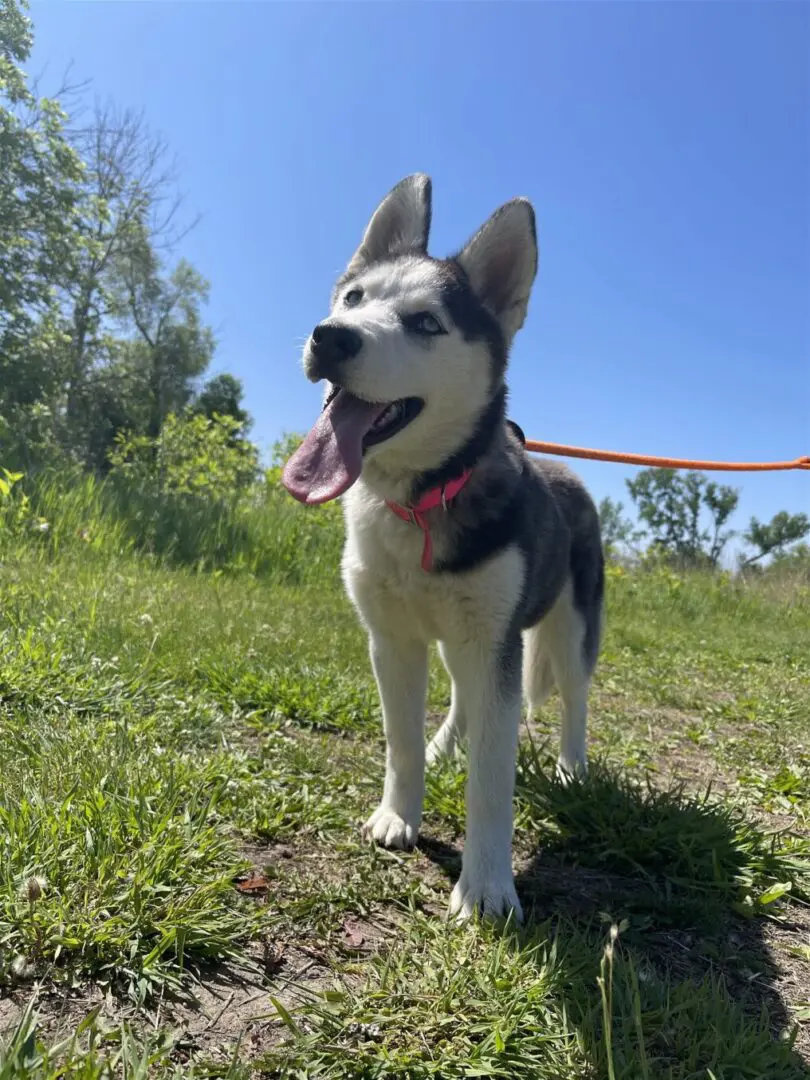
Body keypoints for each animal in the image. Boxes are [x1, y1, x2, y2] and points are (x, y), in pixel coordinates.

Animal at [282, 177, 604, 920]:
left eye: (426, 323)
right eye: (354, 298)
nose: (329, 338)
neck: (420, 501)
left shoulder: (495, 645)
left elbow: (493, 778)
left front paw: (486, 886)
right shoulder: (392, 639)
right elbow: (400, 742)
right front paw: (399, 814)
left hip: (568, 627)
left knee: (573, 698)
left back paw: (571, 768)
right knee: (460, 696)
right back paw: (445, 744)